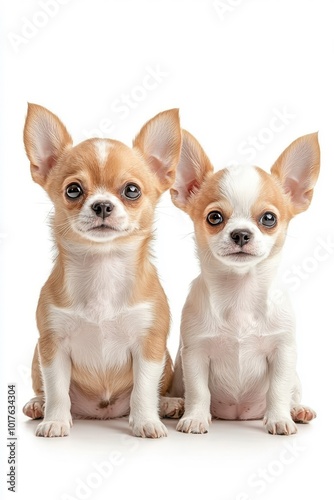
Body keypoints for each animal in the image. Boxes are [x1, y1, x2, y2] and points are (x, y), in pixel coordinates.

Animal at [22, 102, 185, 438]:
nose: (102, 205)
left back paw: (167, 404)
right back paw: (37, 405)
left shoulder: (149, 346)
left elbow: (144, 389)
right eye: (73, 190)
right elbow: (57, 389)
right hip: (36, 354)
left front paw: (146, 421)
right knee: (45, 389)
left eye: (132, 190)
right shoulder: (53, 346)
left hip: (165, 359)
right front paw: (55, 420)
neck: (103, 266)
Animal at [171, 129, 320, 434]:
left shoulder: (283, 352)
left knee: (292, 392)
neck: (239, 293)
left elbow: (278, 389)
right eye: (214, 217)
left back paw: (297, 410)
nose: (240, 233)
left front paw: (279, 419)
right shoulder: (195, 354)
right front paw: (195, 418)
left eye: (269, 218)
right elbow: (198, 390)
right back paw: (177, 405)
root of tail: (239, 414)